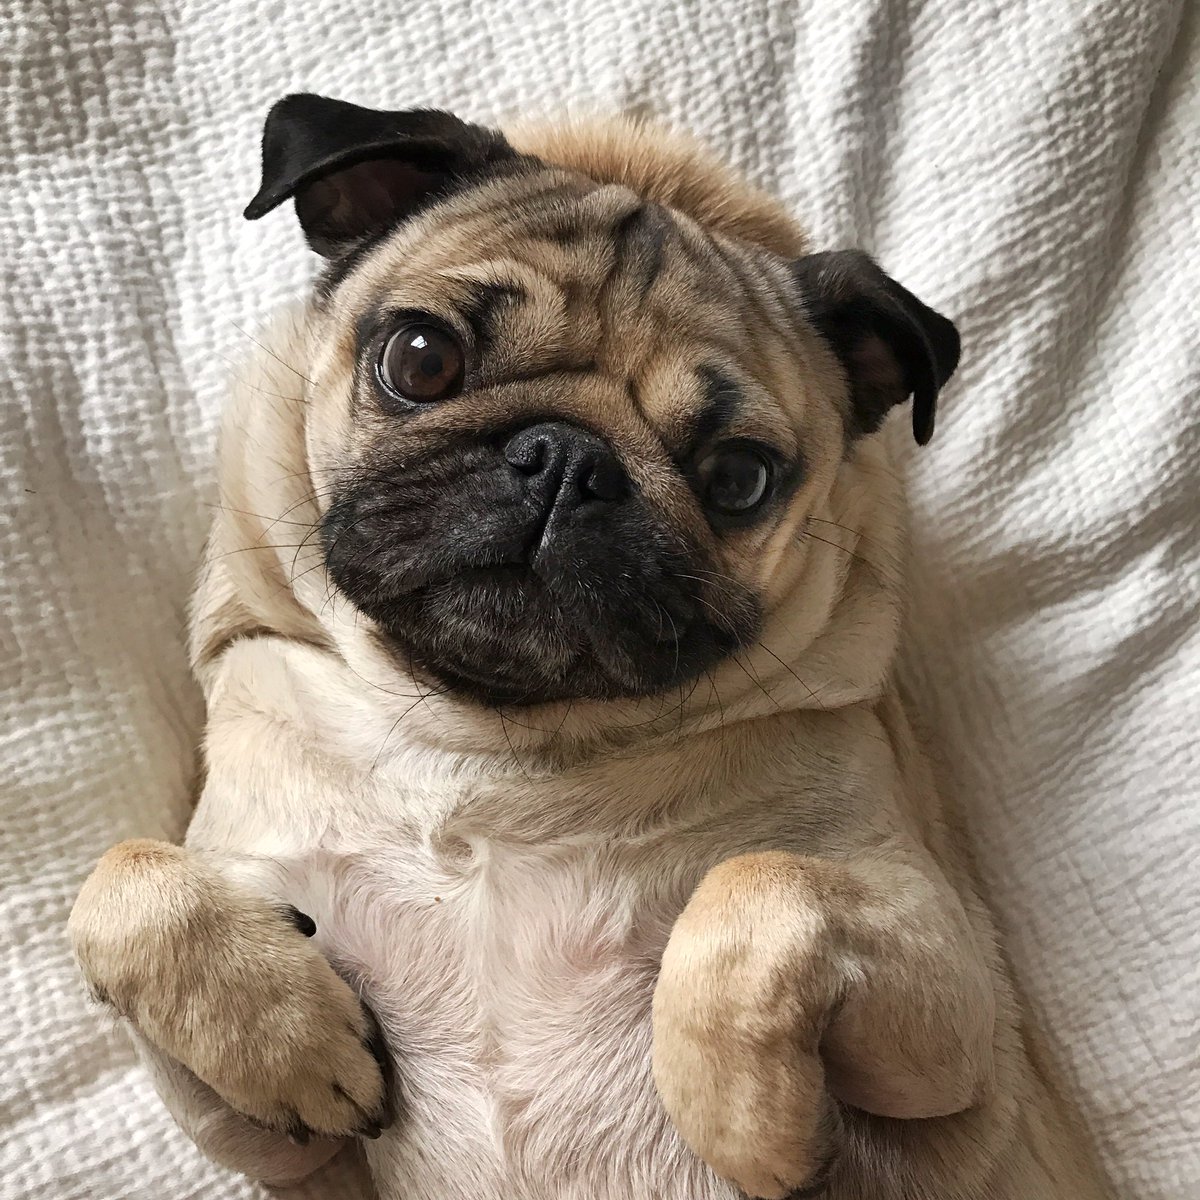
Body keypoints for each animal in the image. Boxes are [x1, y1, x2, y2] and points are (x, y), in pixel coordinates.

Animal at [69, 94, 1111, 1199]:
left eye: (739, 478)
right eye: (421, 359)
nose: (566, 460)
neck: (488, 751)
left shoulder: (950, 1000)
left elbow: (762, 892)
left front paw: (745, 1124)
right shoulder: (274, 1147)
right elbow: (120, 881)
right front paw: (285, 1035)